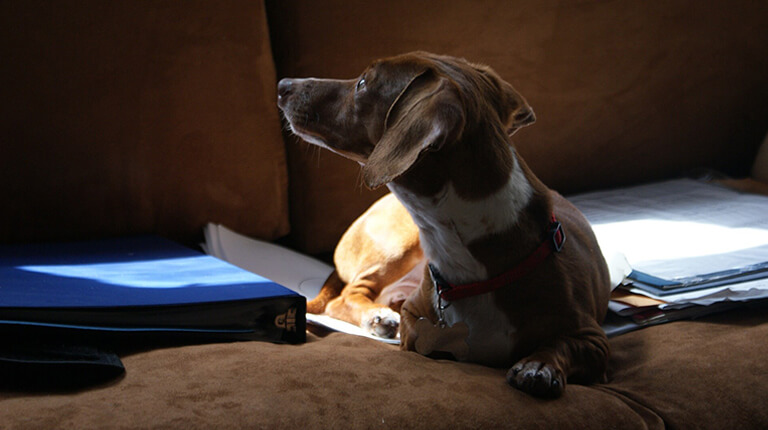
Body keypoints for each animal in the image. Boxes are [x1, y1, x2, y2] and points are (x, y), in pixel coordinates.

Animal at [280, 51, 608, 396]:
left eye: (363, 83)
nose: (283, 85)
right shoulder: (413, 316)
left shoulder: (594, 340)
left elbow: (562, 344)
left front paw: (538, 365)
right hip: (396, 246)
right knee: (345, 297)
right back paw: (377, 316)